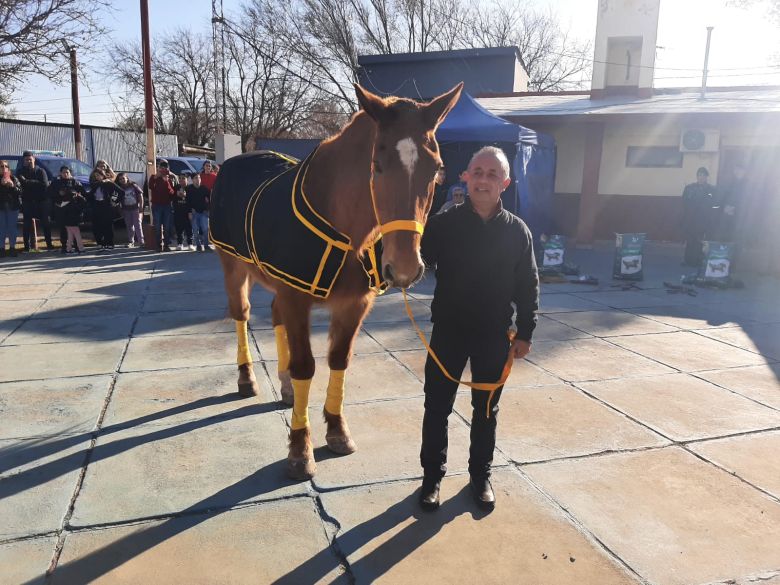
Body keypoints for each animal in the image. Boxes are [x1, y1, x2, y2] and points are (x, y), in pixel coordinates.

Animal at [210, 83, 460, 480]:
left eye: (437, 169)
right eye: (376, 165)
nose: (405, 268)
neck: (343, 225)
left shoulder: (354, 304)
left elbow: (339, 361)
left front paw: (337, 431)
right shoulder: (296, 298)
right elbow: (306, 366)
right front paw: (300, 449)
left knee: (274, 314)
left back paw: (285, 387)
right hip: (232, 266)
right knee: (242, 315)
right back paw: (247, 379)